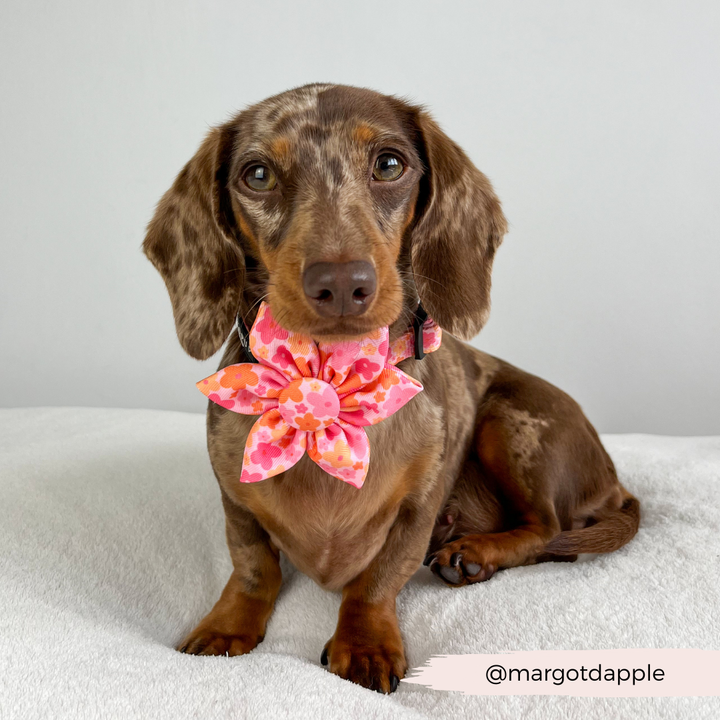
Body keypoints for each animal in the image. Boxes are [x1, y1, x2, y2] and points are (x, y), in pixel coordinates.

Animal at [143, 83, 640, 692]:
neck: (327, 377)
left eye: (389, 164)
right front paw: (227, 625)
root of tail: (613, 482)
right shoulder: (234, 498)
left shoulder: (418, 506)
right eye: (257, 174)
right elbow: (253, 565)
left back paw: (473, 552)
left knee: (547, 529)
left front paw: (365, 643)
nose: (340, 284)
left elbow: (379, 578)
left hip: (513, 422)